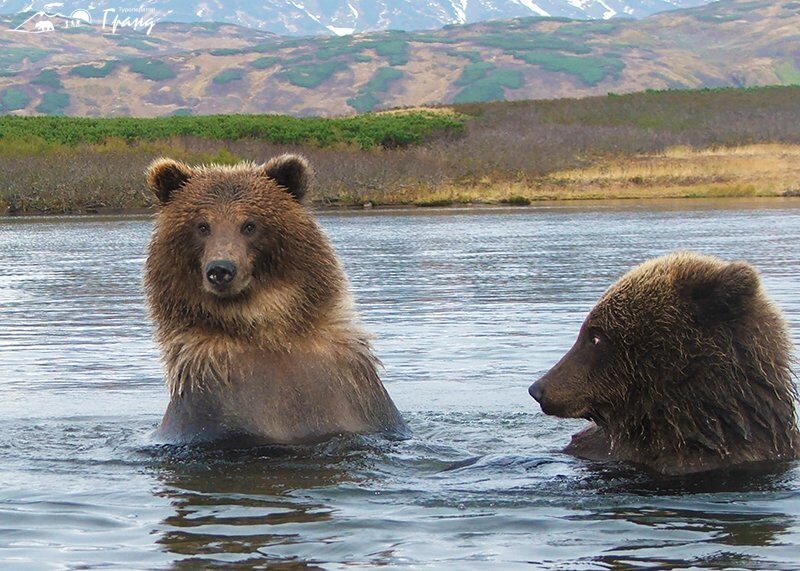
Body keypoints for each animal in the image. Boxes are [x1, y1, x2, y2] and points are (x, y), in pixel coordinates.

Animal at [143, 155, 406, 446]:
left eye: (249, 224)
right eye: (202, 225)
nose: (220, 269)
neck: (265, 332)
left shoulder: (352, 394)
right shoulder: (212, 404)